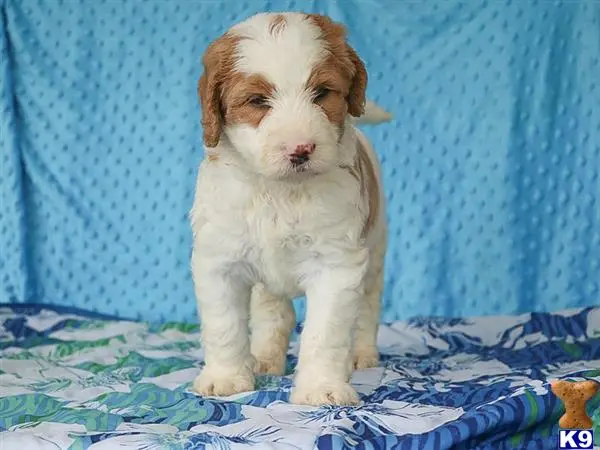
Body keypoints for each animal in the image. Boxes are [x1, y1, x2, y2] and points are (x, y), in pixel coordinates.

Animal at [191, 10, 390, 406]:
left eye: (322, 93)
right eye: (257, 101)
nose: (301, 149)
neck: (279, 190)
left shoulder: (337, 264)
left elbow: (325, 333)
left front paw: (321, 387)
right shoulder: (219, 260)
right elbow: (224, 325)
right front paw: (226, 377)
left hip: (375, 250)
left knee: (367, 307)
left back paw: (361, 354)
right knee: (273, 312)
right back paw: (265, 357)